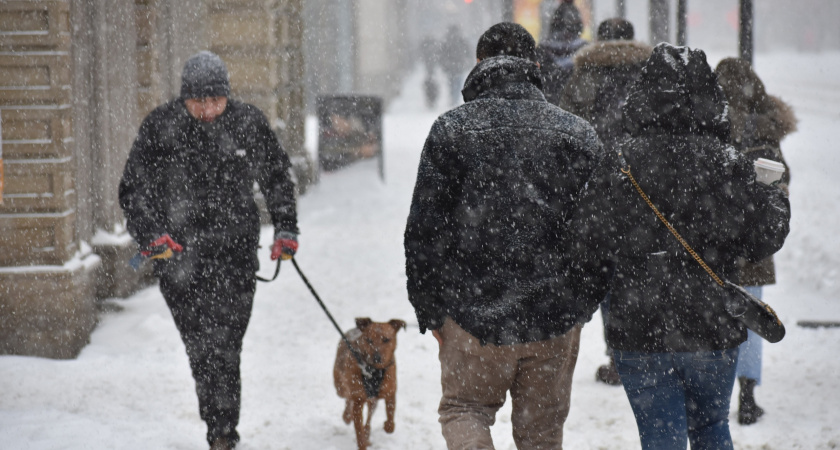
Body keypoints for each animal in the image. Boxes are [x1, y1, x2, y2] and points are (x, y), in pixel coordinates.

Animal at [334, 318, 406, 448]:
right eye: (368, 340)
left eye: (386, 339)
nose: (376, 357)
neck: (374, 371)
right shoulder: (358, 400)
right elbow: (358, 428)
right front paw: (362, 443)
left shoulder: (390, 391)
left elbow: (390, 414)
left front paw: (387, 425)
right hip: (340, 386)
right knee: (347, 397)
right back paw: (347, 416)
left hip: (372, 400)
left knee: (369, 416)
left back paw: (367, 434)